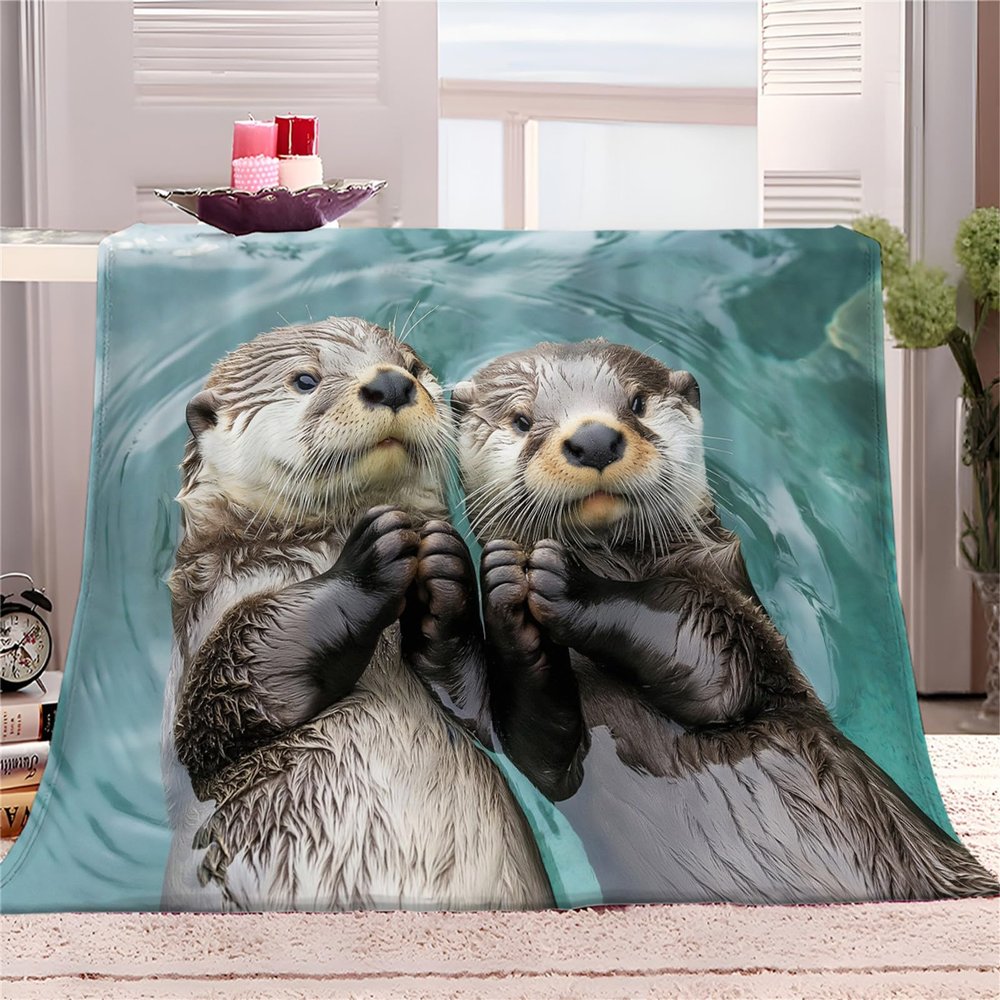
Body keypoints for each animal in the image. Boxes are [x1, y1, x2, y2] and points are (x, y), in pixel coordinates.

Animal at [160, 317, 551, 912]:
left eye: (412, 366)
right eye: (305, 379)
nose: (390, 383)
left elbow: (493, 720)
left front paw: (444, 570)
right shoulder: (205, 626)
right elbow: (226, 693)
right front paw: (372, 559)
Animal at [452, 338, 999, 904]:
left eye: (637, 403)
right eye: (521, 419)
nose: (594, 438)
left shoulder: (737, 611)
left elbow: (713, 660)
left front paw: (569, 582)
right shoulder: (552, 765)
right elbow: (537, 747)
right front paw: (503, 587)